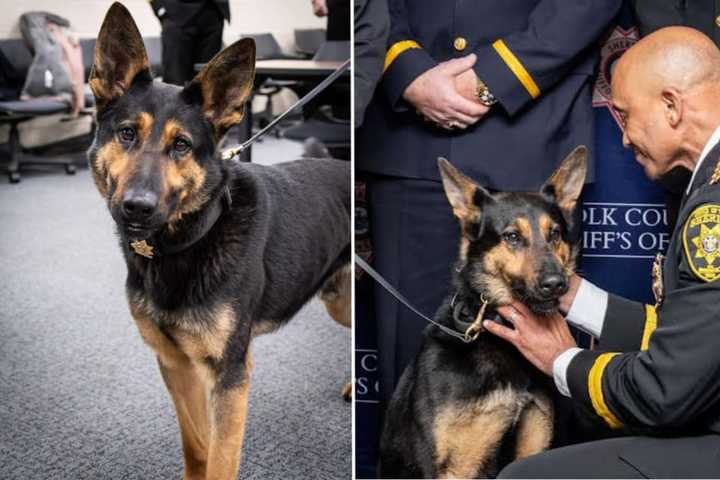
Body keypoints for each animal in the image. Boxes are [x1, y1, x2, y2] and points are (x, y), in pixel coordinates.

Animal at [87, 3, 352, 480]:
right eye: (127, 134)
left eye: (182, 145)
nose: (137, 208)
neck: (191, 239)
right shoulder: (176, 365)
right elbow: (196, 443)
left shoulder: (230, 376)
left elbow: (221, 458)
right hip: (339, 299)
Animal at [380, 147, 588, 480]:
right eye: (512, 237)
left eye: (555, 234)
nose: (557, 284)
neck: (498, 337)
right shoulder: (454, 467)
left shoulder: (531, 445)